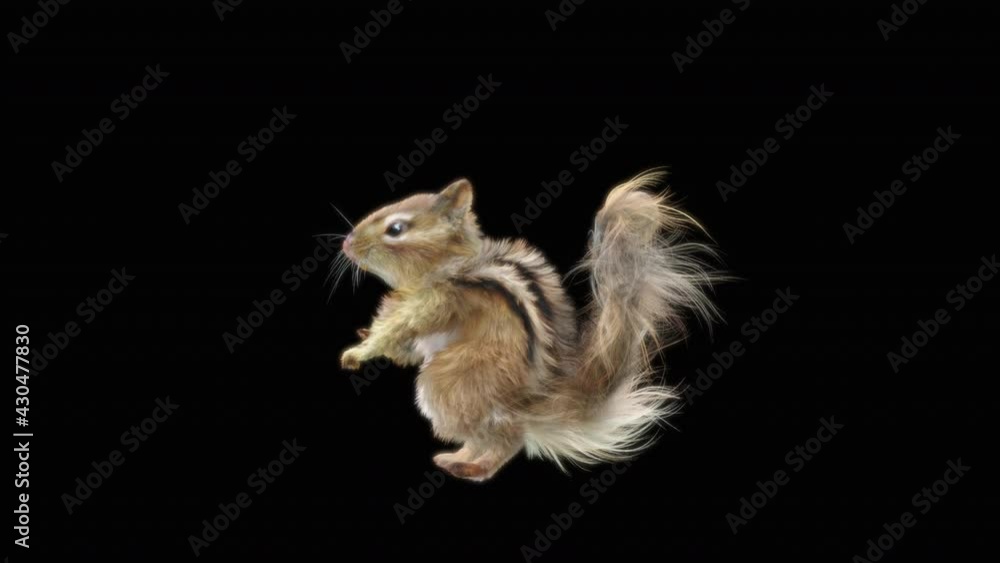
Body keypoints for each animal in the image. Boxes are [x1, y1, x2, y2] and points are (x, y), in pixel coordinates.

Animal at [336, 170, 720, 481]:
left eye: (396, 228)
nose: (346, 242)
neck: (450, 267)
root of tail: (527, 407)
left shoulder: (437, 303)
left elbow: (399, 329)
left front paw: (359, 350)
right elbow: (407, 347)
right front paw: (365, 336)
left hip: (446, 385)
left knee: (505, 441)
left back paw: (471, 467)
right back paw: (457, 456)